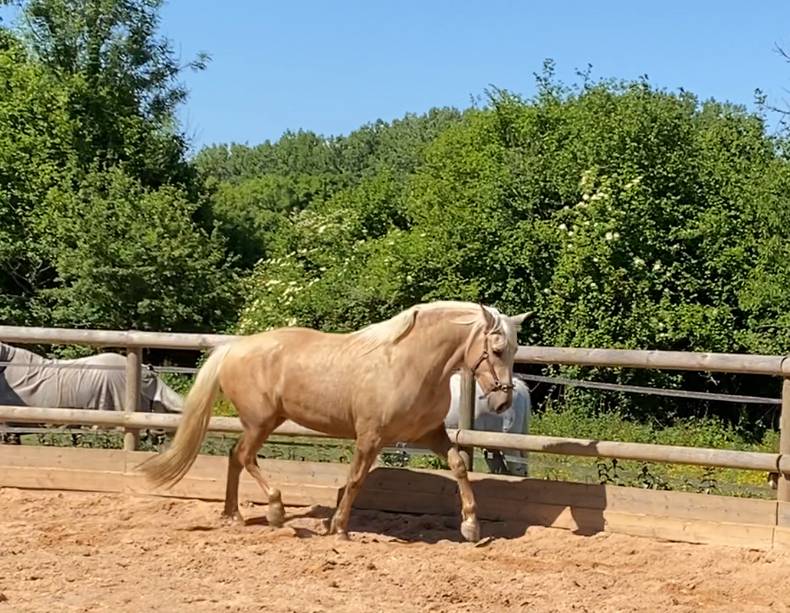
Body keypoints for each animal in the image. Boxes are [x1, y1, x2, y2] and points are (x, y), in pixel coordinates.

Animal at [139, 301, 530, 542]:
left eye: (514, 350)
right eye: (496, 350)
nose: (502, 401)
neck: (411, 364)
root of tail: (233, 348)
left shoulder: (430, 434)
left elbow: (459, 466)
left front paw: (471, 527)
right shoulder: (370, 436)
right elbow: (355, 480)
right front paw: (339, 528)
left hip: (265, 422)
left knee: (235, 456)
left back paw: (233, 515)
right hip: (260, 422)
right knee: (245, 456)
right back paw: (276, 511)